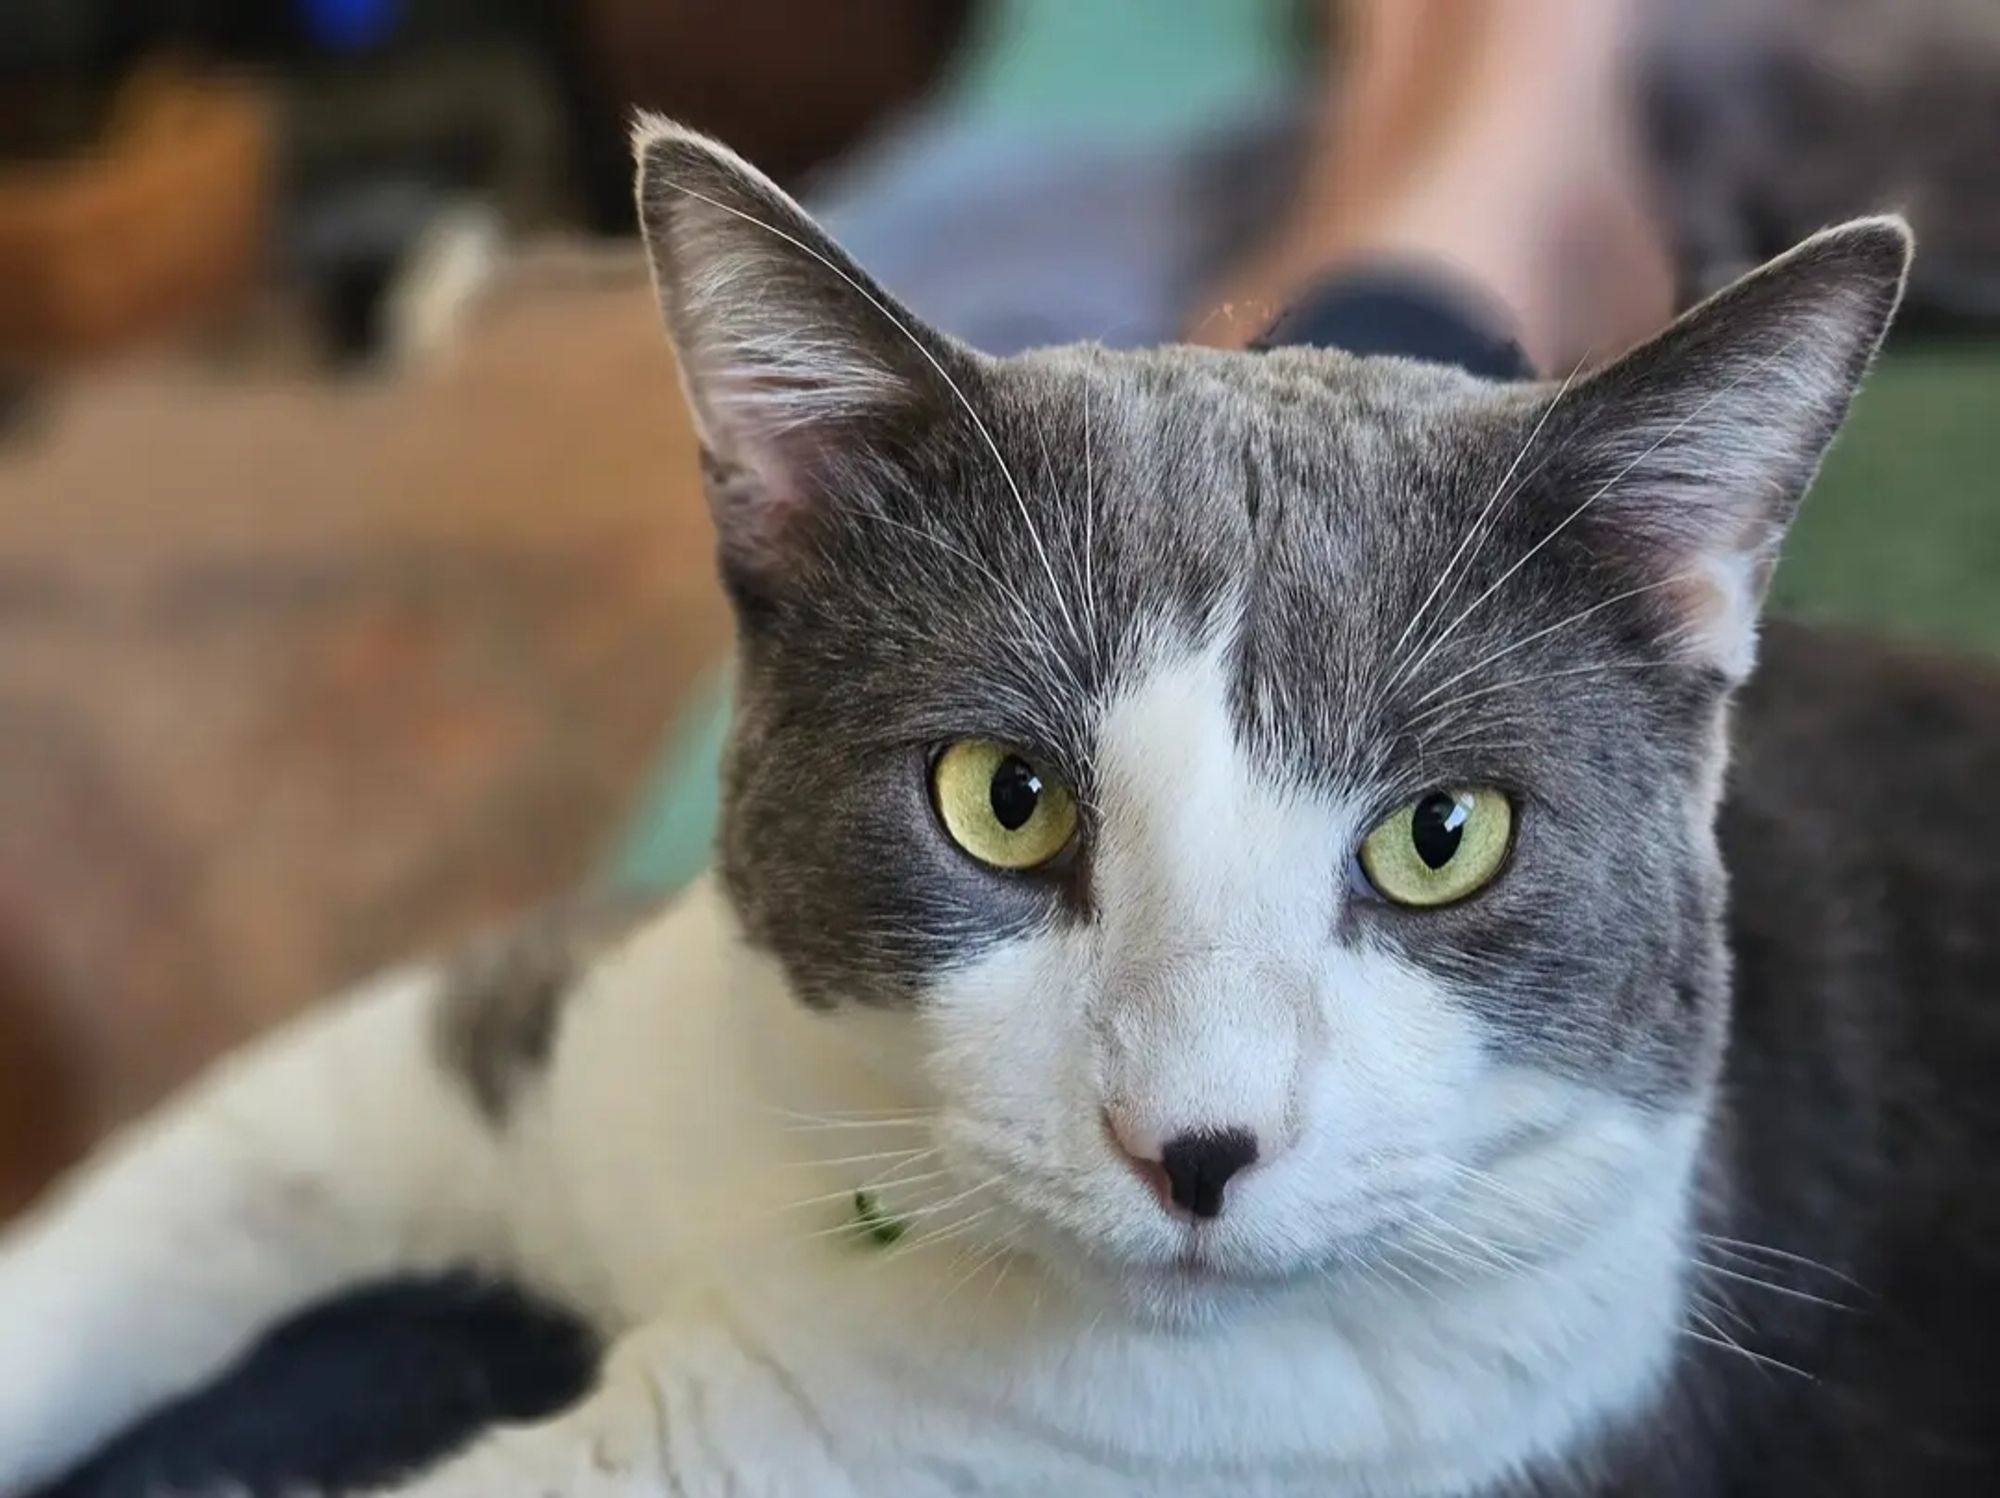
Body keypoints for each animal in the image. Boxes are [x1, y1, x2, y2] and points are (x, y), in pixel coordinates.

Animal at [3, 120, 2000, 1496]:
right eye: (1005, 796)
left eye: (1444, 834)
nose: (1196, 1142)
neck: (824, 1191)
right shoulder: (554, 1029)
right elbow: (217, 1172)